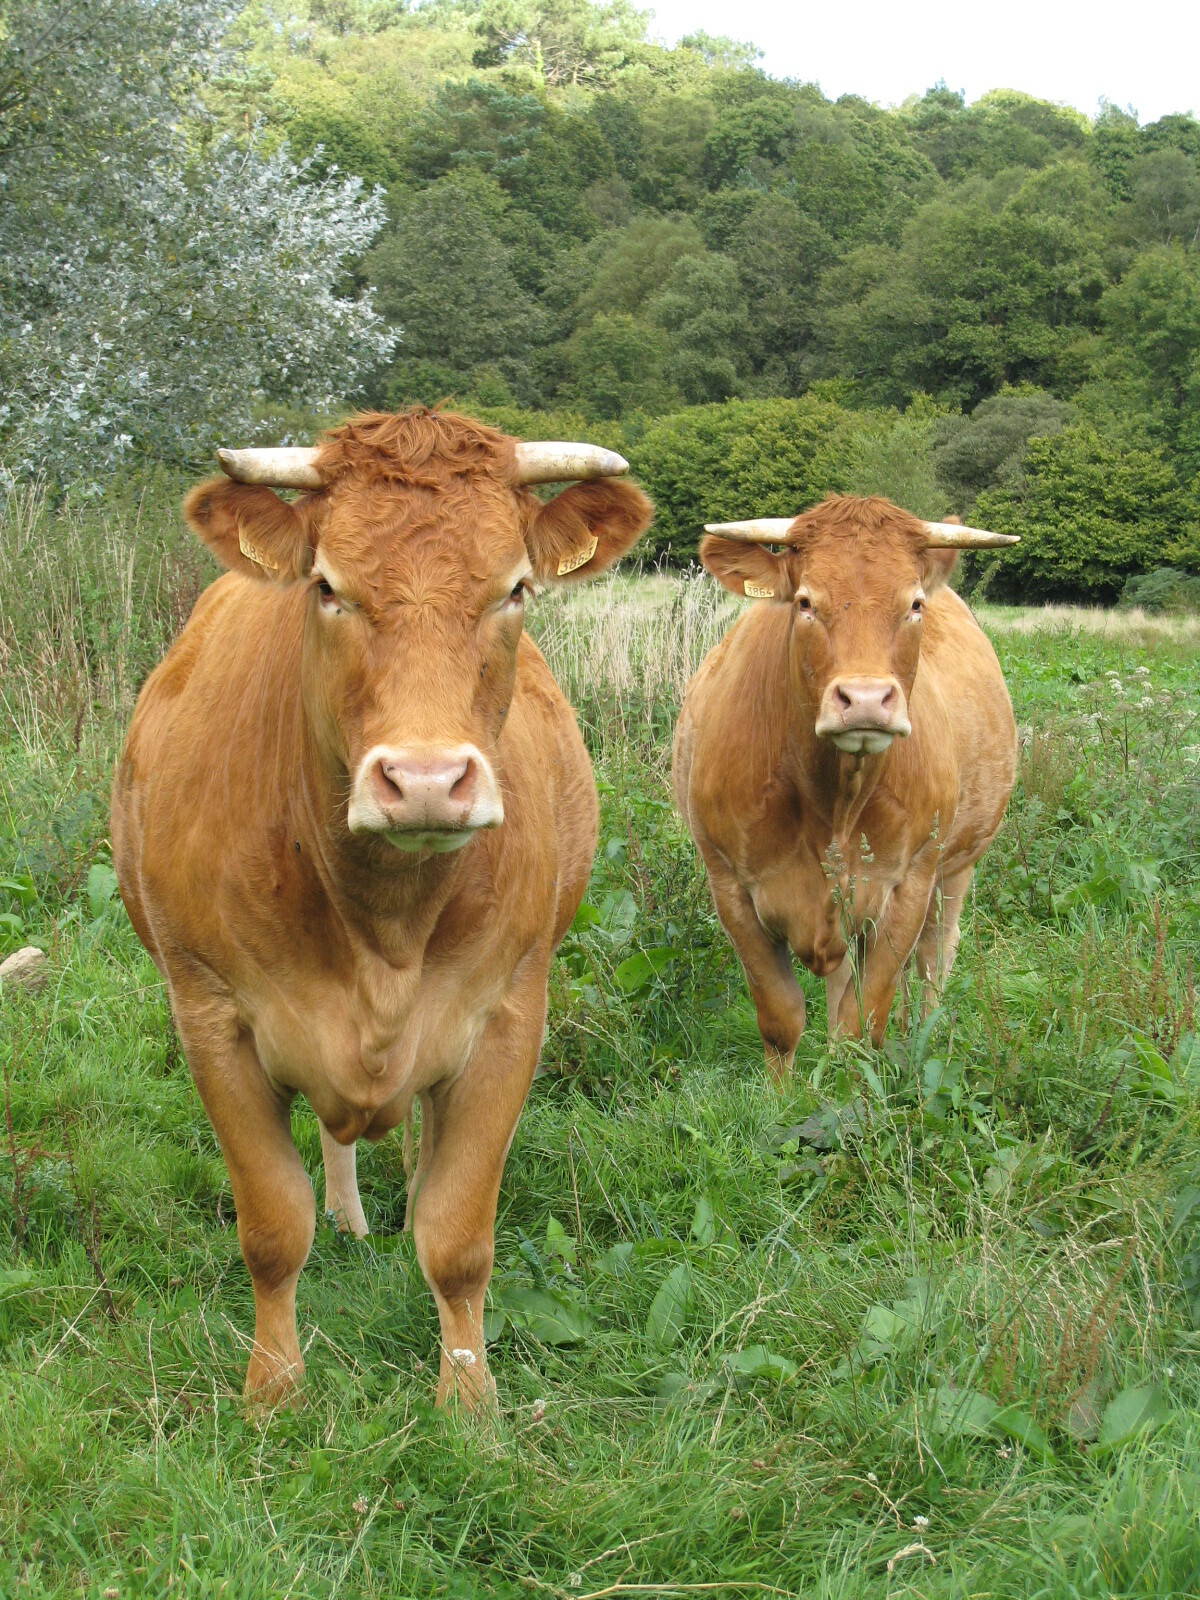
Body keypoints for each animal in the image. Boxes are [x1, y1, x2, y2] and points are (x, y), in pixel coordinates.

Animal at [112, 409, 653, 1409]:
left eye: (514, 588)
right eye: (329, 587)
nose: (428, 781)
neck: (383, 925)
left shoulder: (510, 1015)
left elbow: (459, 1235)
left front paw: (469, 1405)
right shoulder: (210, 1017)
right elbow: (272, 1227)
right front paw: (272, 1392)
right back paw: (352, 1219)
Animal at [673, 496, 1018, 1080]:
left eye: (915, 605)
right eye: (806, 602)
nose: (865, 700)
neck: (832, 805)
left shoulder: (909, 884)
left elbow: (862, 1024)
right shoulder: (730, 885)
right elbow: (782, 1020)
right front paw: (785, 1097)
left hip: (956, 866)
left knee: (932, 960)